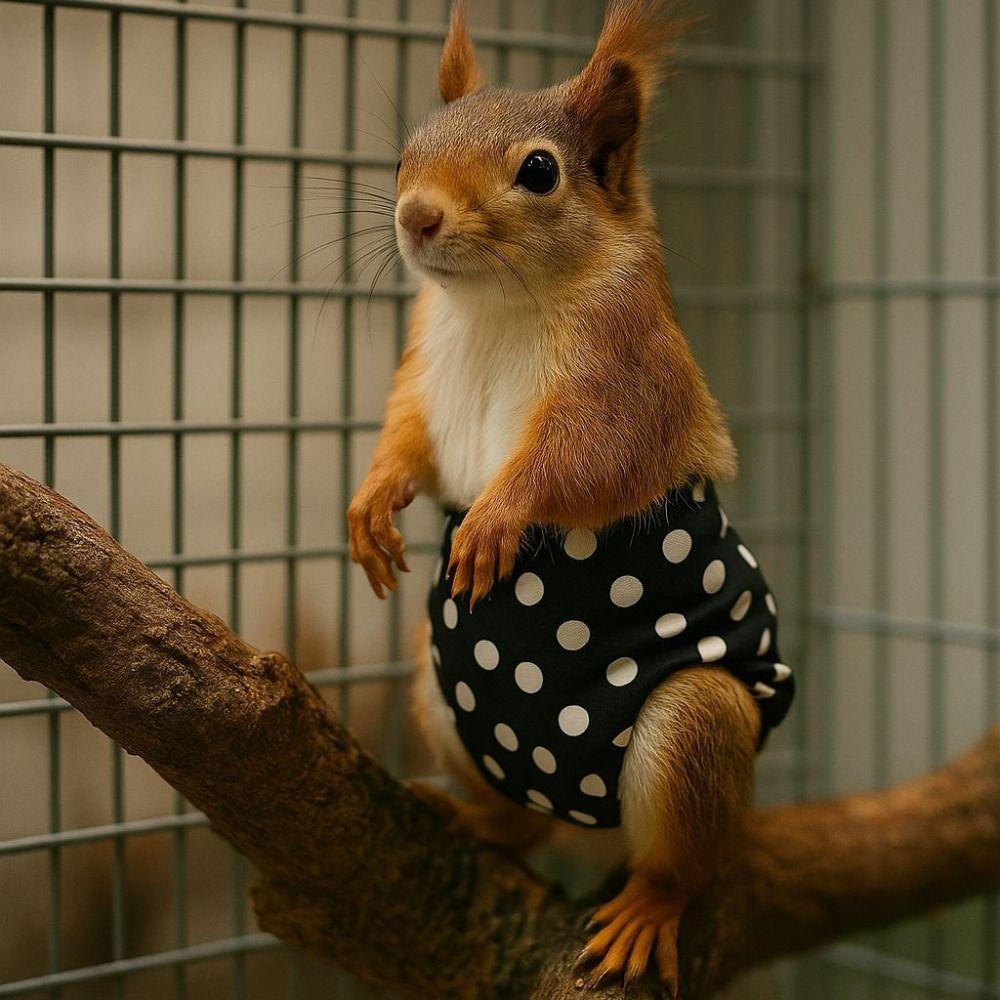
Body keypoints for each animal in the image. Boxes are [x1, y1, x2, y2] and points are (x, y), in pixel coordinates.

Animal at [347, 1, 795, 992]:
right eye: (405, 153)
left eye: (540, 172)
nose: (416, 216)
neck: (493, 306)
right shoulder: (424, 367)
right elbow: (408, 441)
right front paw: (370, 504)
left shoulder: (626, 379)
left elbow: (580, 462)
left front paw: (496, 519)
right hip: (440, 697)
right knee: (519, 821)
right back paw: (475, 819)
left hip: (697, 726)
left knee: (680, 864)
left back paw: (646, 909)